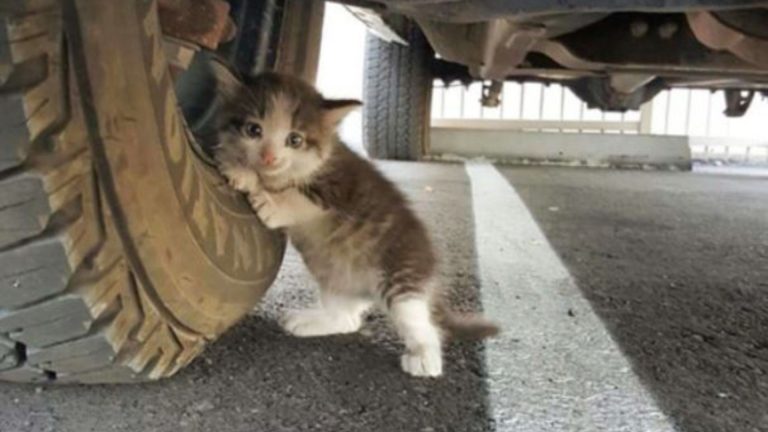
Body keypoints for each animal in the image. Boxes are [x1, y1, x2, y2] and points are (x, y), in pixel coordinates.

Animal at [210, 64, 498, 378]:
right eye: (254, 130)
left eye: (294, 139)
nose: (269, 157)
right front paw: (239, 167)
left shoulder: (340, 187)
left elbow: (298, 197)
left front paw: (265, 195)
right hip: (335, 277)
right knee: (348, 319)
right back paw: (311, 321)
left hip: (401, 274)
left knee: (418, 320)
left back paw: (425, 357)